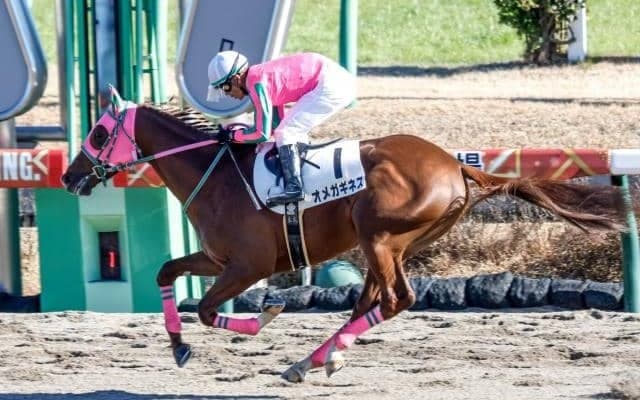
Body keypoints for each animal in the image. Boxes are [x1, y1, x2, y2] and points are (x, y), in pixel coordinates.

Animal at [61, 87, 627, 383]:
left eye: (98, 133)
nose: (69, 176)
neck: (216, 173)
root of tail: (457, 166)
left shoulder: (248, 265)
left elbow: (206, 308)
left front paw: (265, 314)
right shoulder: (217, 259)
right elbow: (166, 271)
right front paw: (178, 347)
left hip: (379, 236)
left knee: (396, 298)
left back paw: (312, 359)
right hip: (392, 243)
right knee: (370, 300)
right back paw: (314, 360)